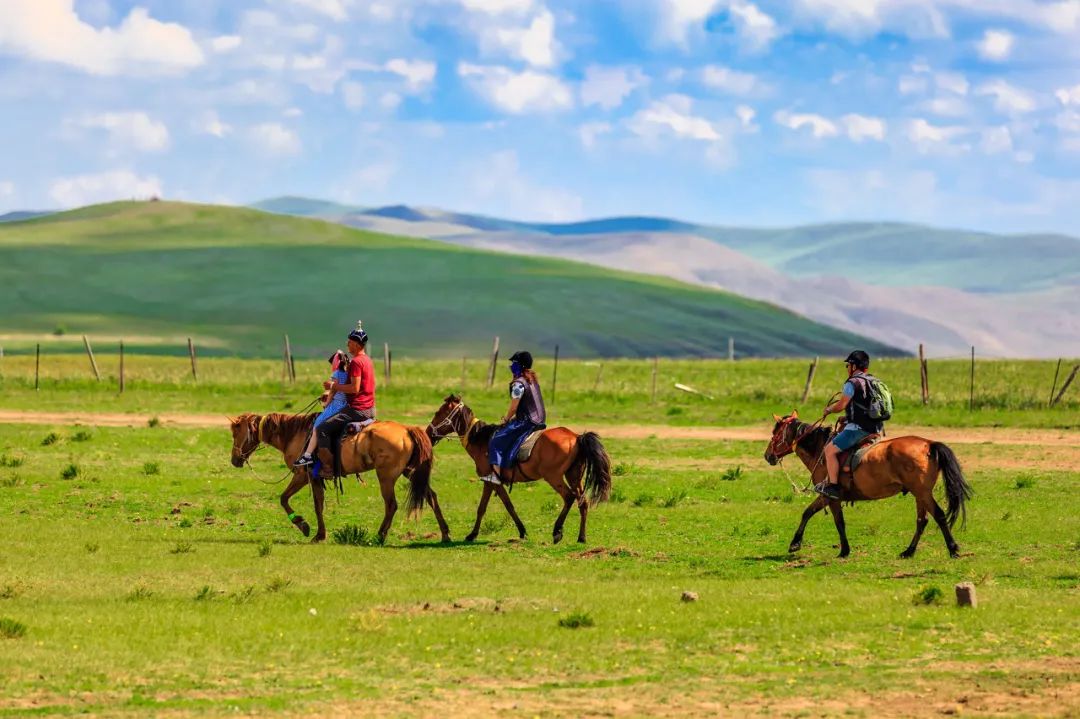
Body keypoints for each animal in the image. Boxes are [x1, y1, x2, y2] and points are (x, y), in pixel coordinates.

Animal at [225, 412, 449, 539]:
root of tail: (407, 430)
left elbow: (286, 499)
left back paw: (379, 536)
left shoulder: (303, 475)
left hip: (386, 476)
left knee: (391, 505)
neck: (294, 434)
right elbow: (317, 505)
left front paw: (304, 526)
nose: (234, 460)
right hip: (411, 472)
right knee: (431, 496)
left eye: (236, 433)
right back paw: (445, 534)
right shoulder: (315, 478)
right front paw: (318, 533)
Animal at [425, 395, 613, 539]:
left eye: (438, 413)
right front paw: (475, 534)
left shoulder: (493, 481)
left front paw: (520, 531)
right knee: (583, 502)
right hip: (574, 476)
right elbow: (483, 508)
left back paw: (557, 531)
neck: (481, 440)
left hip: (554, 477)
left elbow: (506, 506)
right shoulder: (489, 481)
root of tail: (576, 437)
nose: (428, 432)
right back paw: (581, 537)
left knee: (569, 497)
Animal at [764, 412, 976, 557]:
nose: (767, 456)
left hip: (922, 492)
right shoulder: (828, 497)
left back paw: (953, 549)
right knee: (922, 521)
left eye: (775, 434)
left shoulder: (829, 496)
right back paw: (908, 551)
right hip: (919, 494)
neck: (820, 450)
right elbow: (814, 514)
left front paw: (800, 544)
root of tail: (928, 444)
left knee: (939, 515)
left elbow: (826, 518)